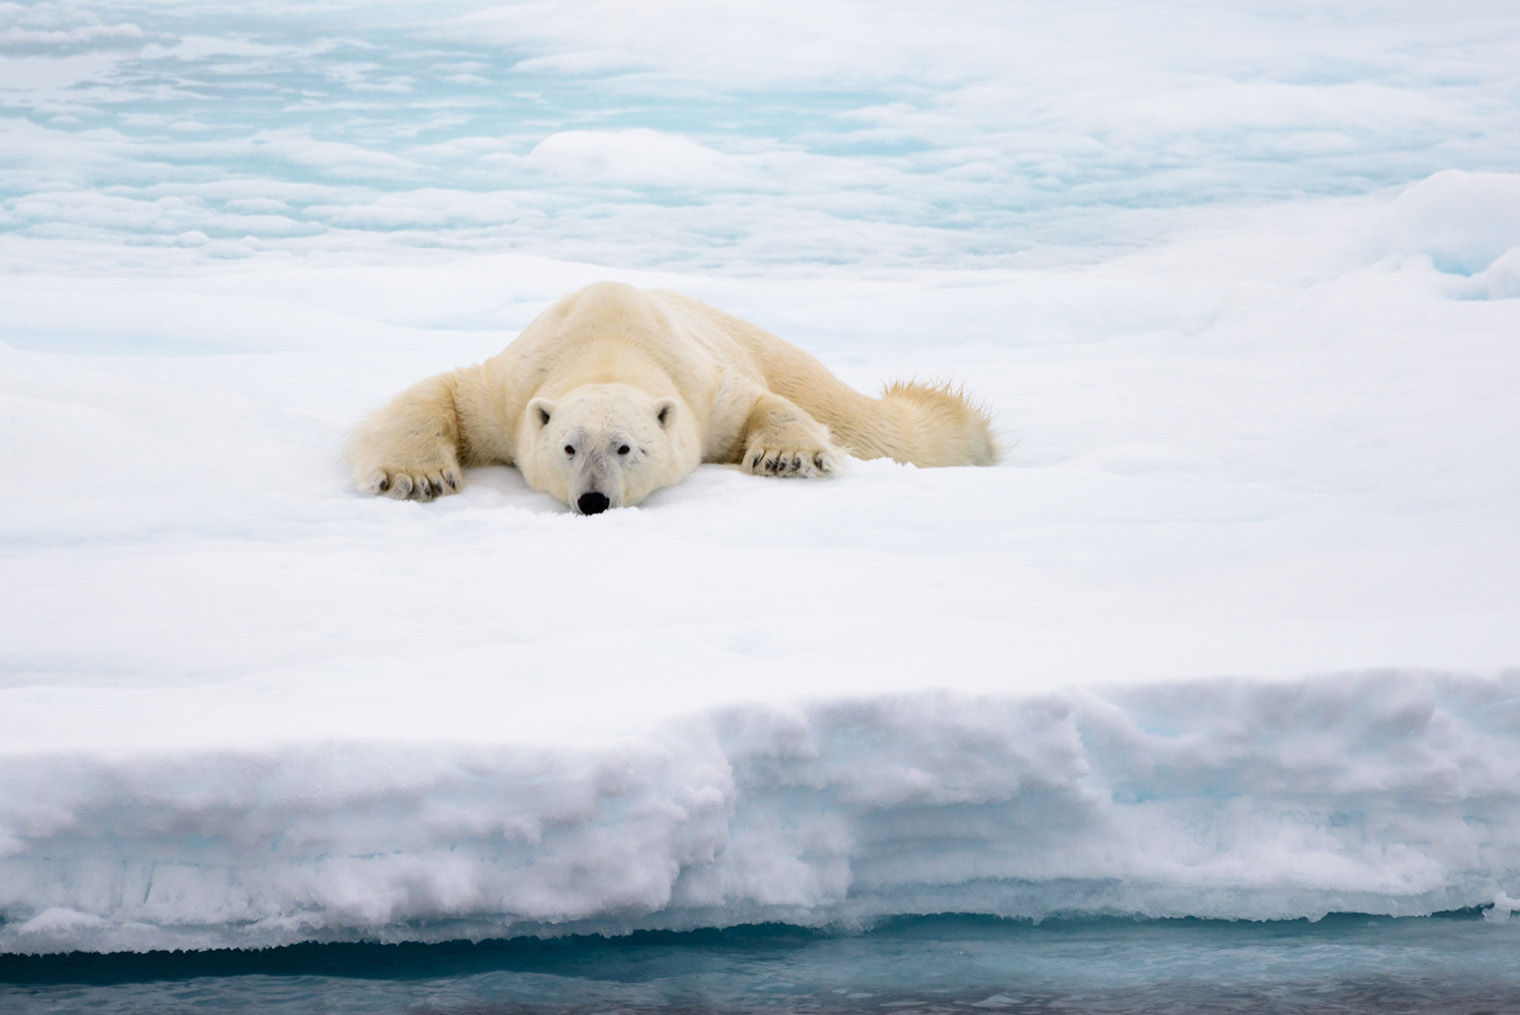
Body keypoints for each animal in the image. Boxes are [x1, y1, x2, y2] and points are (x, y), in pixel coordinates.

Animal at [347, 282, 998, 514]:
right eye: (567, 447)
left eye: (625, 447)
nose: (593, 501)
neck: (606, 343)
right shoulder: (509, 389)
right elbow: (444, 393)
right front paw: (416, 477)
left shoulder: (703, 389)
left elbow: (760, 403)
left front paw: (785, 457)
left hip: (773, 350)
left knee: (878, 424)